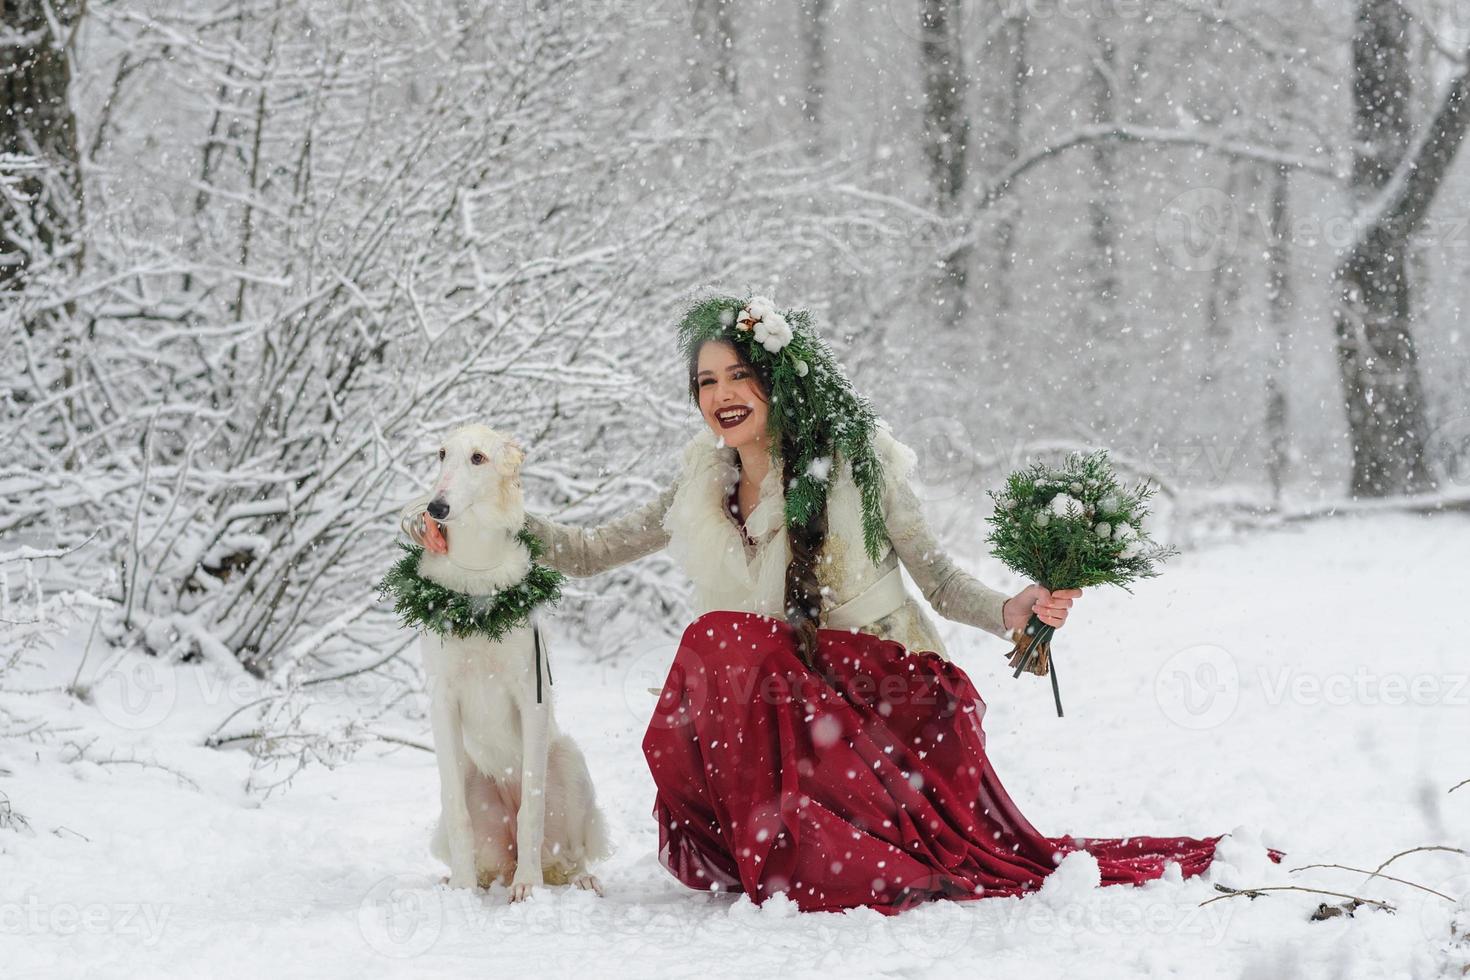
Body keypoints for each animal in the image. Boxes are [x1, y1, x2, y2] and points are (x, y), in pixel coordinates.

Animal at [399, 426, 611, 899]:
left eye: (478, 457)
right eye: (441, 453)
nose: (434, 508)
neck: (477, 585)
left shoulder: (530, 695)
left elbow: (530, 809)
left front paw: (527, 887)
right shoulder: (442, 699)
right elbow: (458, 813)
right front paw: (460, 890)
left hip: (569, 764)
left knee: (567, 855)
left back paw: (576, 878)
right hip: (472, 782)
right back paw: (461, 879)